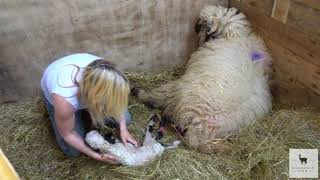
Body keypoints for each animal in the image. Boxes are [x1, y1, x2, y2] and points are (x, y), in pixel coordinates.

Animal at [132, 5, 272, 153]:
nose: (195, 28)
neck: (232, 37)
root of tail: (198, 123)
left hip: (178, 90)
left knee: (156, 97)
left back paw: (137, 91)